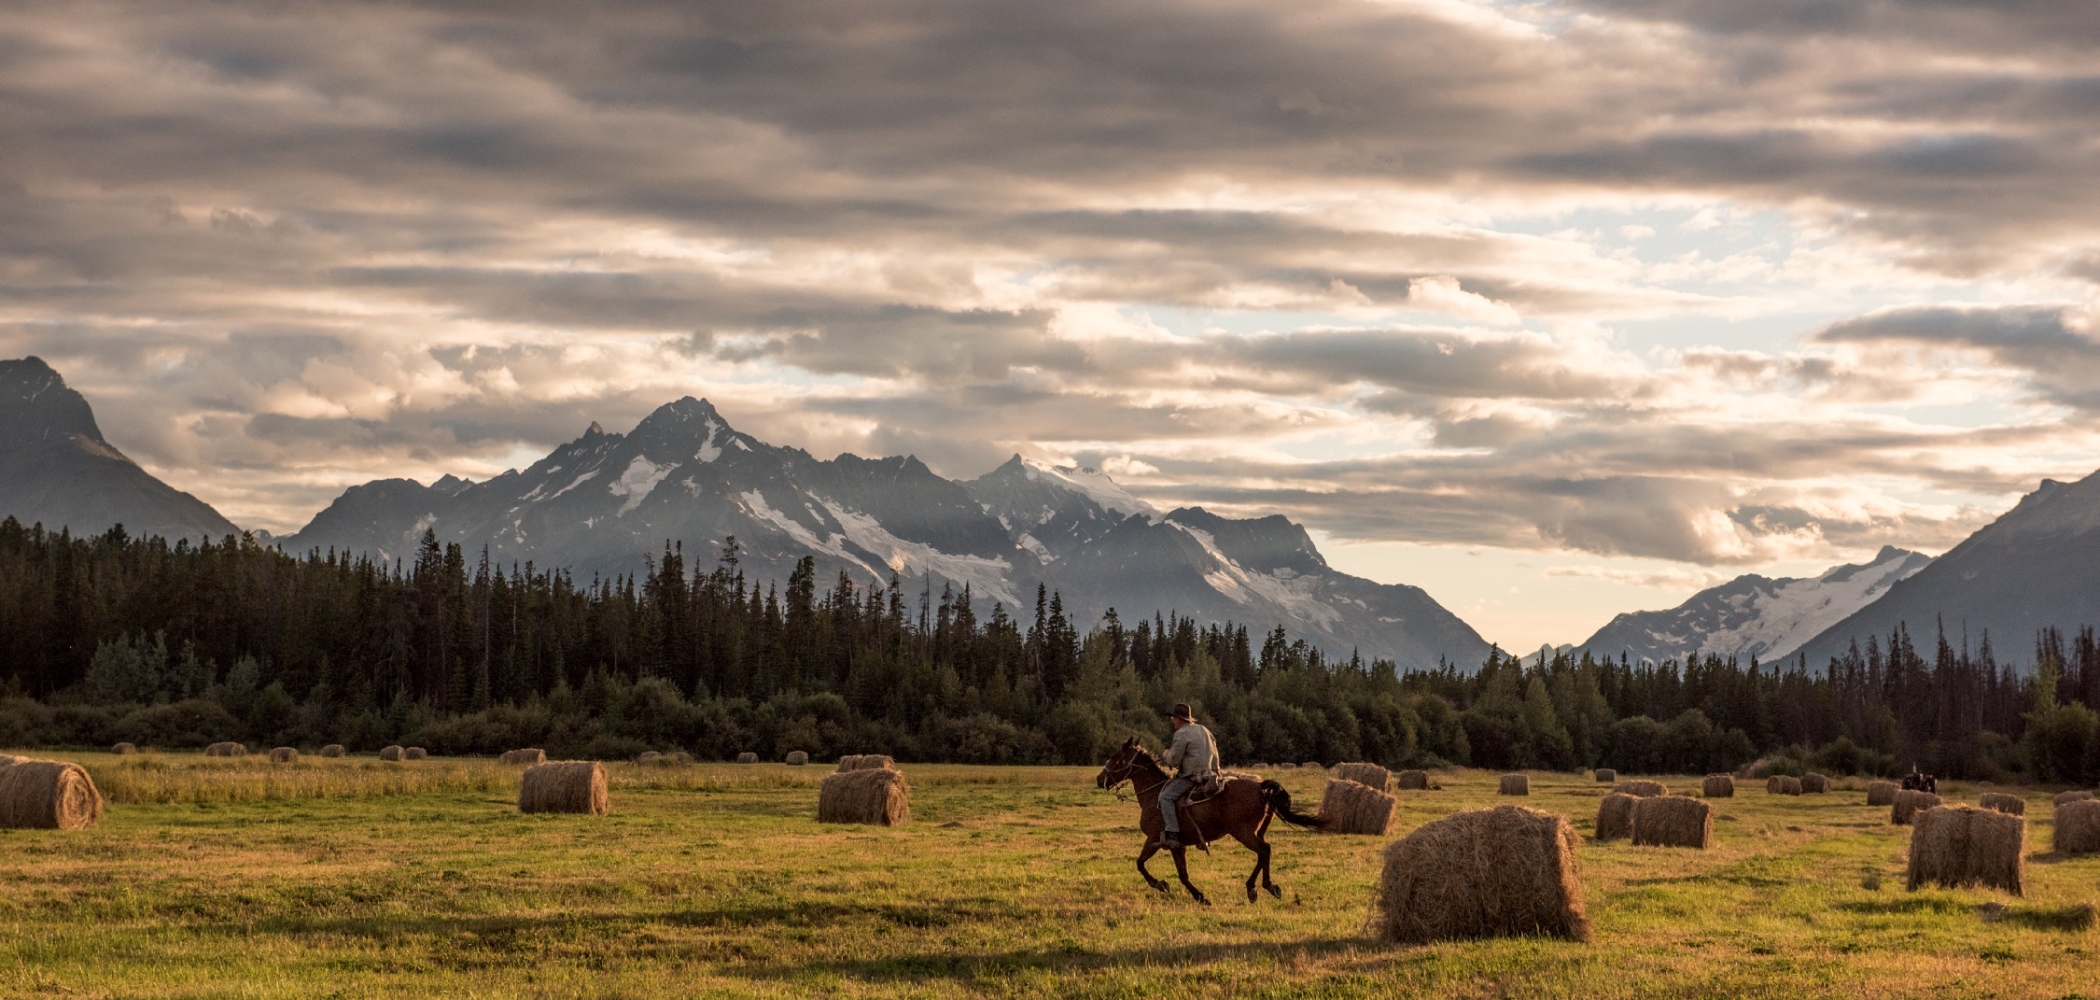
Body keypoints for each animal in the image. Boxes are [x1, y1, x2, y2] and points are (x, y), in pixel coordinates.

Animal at [1092, 735, 1318, 907]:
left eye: (1116, 758)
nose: (1099, 779)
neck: (1154, 794)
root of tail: (1260, 787)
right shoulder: (1175, 844)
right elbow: (1171, 871)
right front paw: (1192, 894)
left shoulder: (1159, 840)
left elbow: (1145, 865)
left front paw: (1168, 887)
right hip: (1257, 831)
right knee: (1264, 853)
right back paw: (1266, 886)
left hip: (1243, 833)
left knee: (1263, 850)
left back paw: (1255, 887)